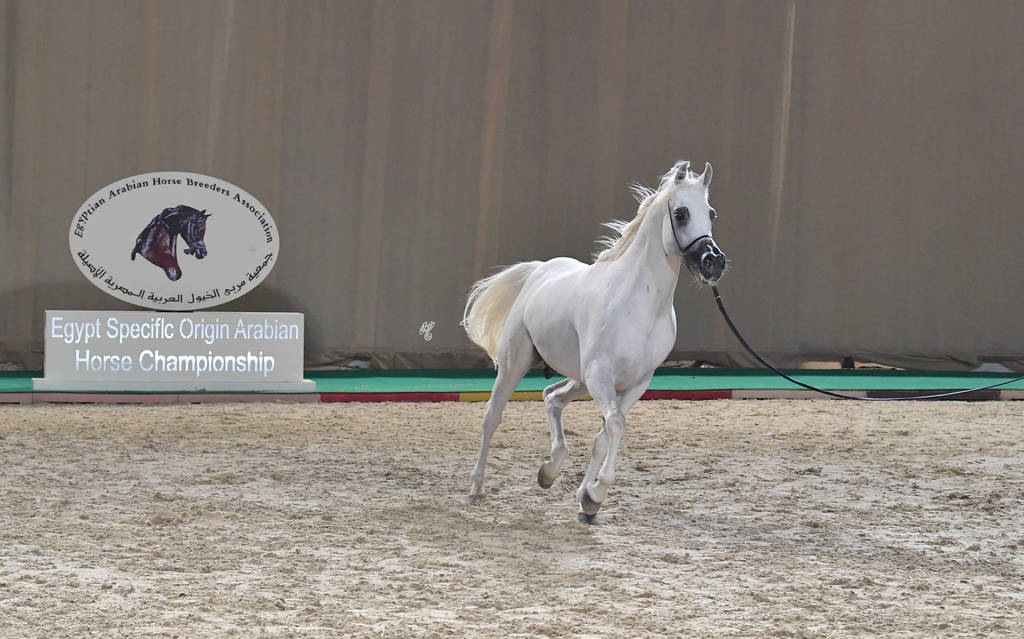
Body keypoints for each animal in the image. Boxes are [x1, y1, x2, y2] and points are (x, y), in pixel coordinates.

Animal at [462, 160, 727, 523]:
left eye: (711, 213)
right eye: (681, 213)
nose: (713, 262)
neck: (640, 304)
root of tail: (539, 271)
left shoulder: (635, 383)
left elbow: (604, 435)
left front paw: (587, 500)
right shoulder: (601, 374)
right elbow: (615, 425)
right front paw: (596, 493)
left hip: (580, 380)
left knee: (551, 397)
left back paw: (550, 470)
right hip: (518, 363)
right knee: (492, 417)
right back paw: (476, 486)